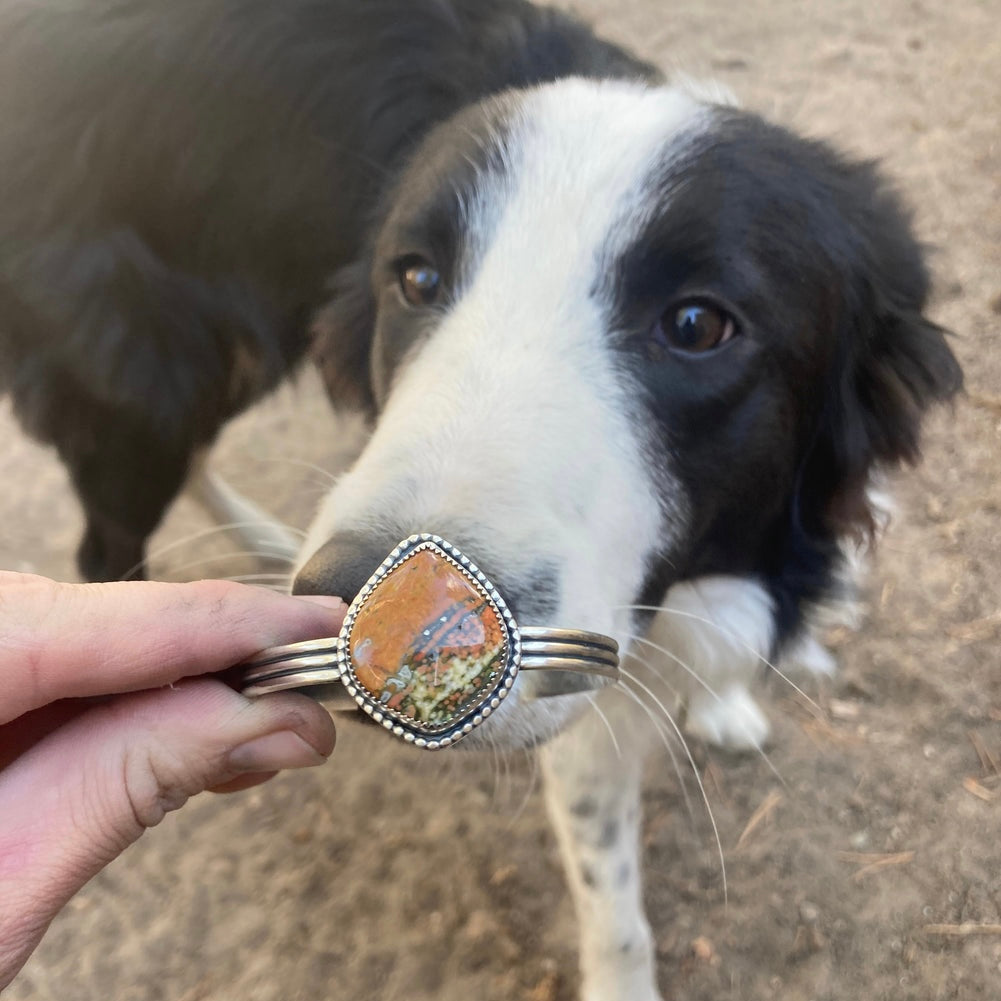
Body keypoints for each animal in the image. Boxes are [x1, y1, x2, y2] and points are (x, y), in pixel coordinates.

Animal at [0, 1, 960, 1001]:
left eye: (698, 324)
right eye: (416, 278)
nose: (348, 604)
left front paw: (722, 701)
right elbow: (612, 890)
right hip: (141, 384)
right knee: (112, 542)